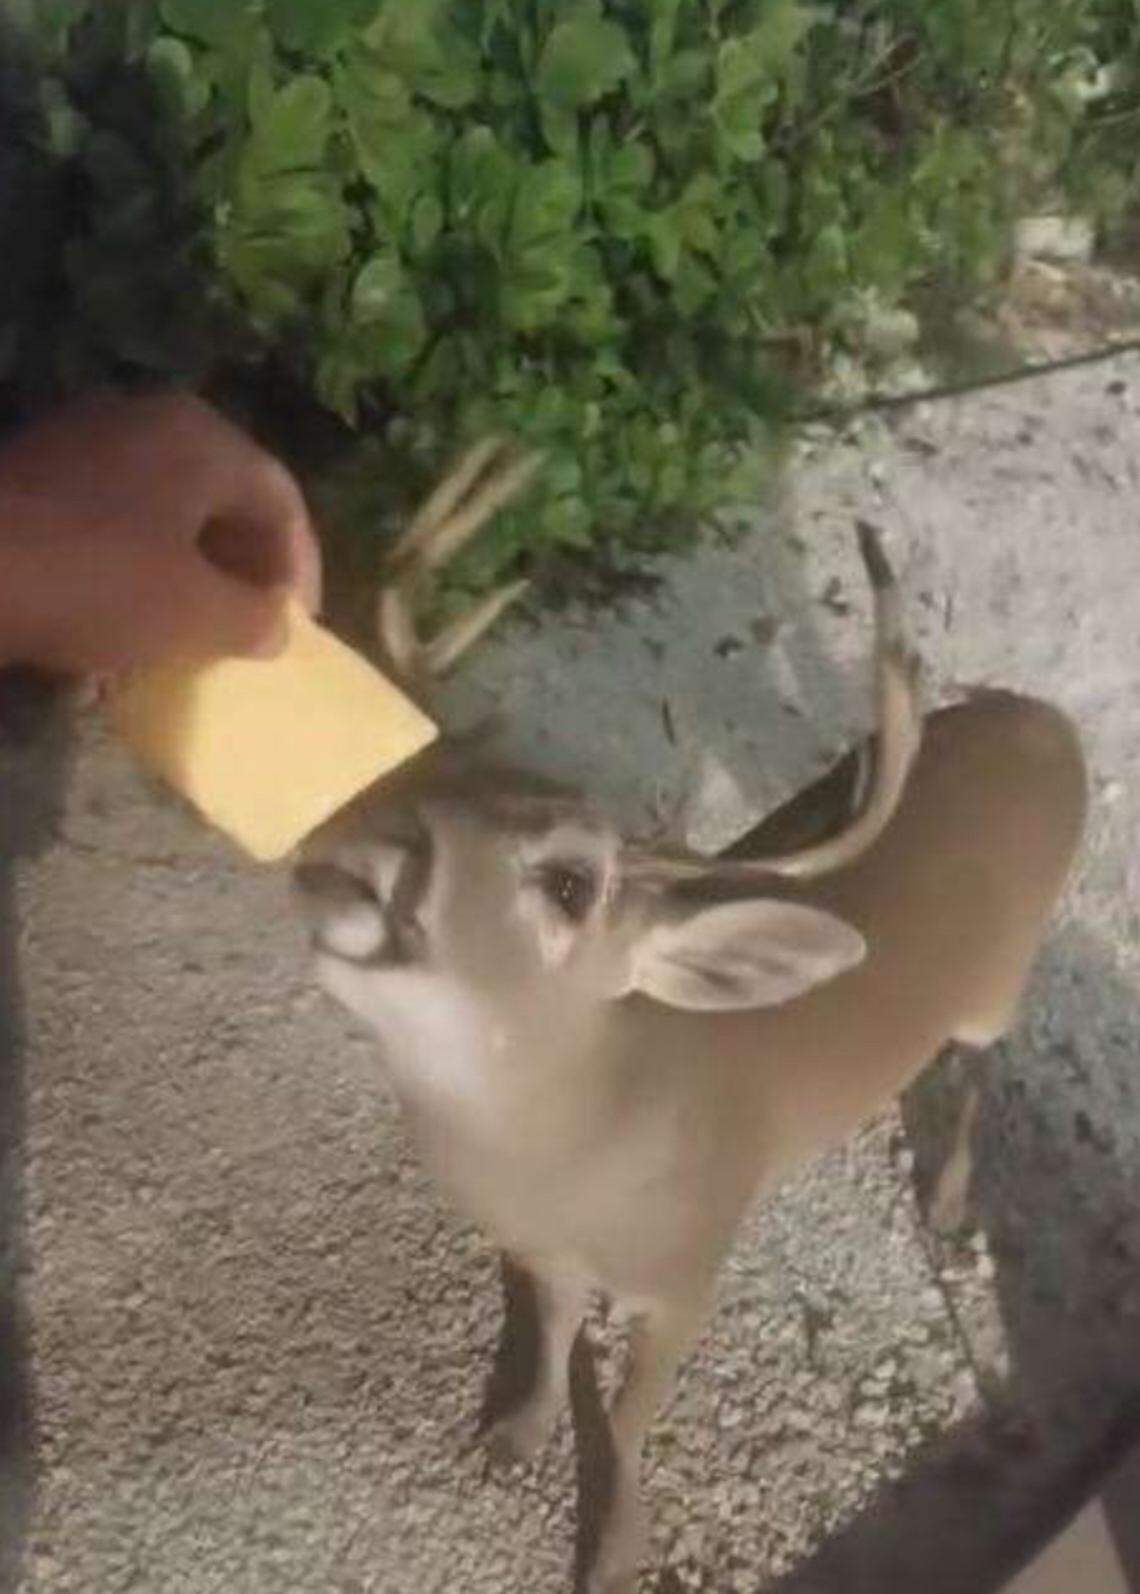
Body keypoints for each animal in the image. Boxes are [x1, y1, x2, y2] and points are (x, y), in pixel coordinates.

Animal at [293, 440, 1088, 1594]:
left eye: (571, 884)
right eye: (396, 781)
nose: (352, 862)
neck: (582, 1148)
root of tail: (1048, 720)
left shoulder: (690, 1269)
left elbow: (629, 1418)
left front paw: (614, 1548)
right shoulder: (541, 1246)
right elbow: (549, 1337)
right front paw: (511, 1436)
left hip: (1000, 982)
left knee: (987, 1060)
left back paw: (946, 1202)